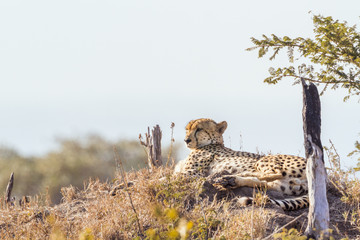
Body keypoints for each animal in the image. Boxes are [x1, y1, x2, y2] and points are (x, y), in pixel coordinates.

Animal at [174, 118, 306, 210]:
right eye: (187, 129)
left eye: (199, 129)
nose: (186, 140)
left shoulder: (194, 172)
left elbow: (173, 176)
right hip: (285, 186)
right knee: (264, 183)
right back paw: (231, 180)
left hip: (265, 159)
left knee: (275, 173)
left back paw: (233, 175)